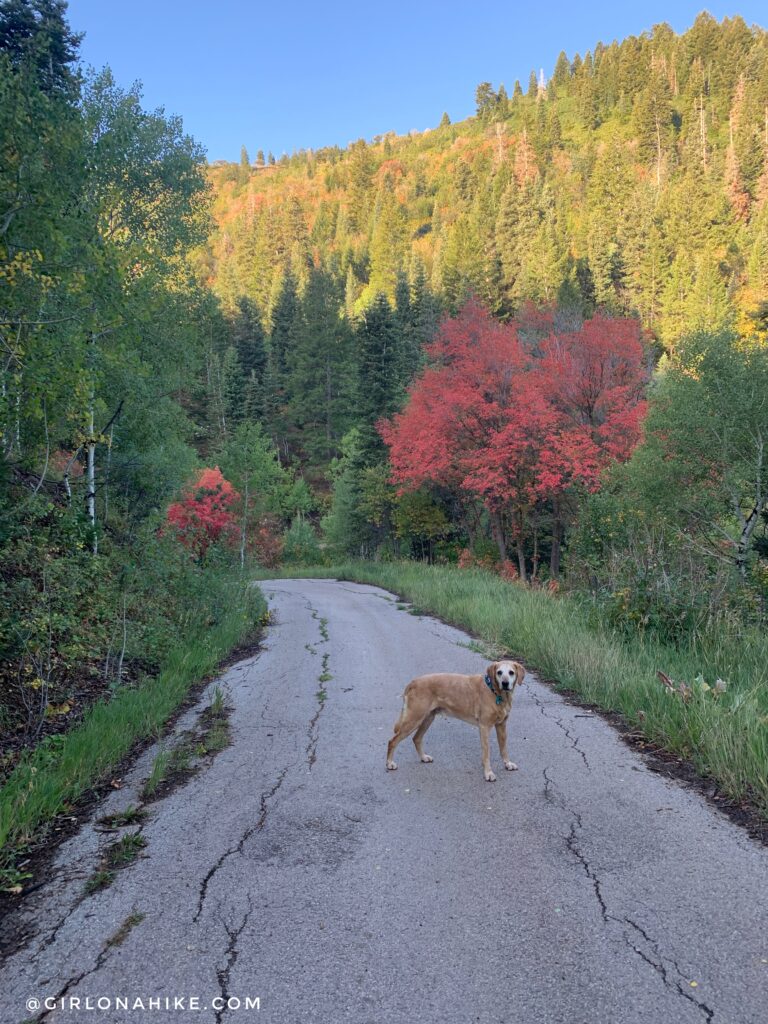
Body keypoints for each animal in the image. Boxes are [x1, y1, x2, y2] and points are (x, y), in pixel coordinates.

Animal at [387, 659, 528, 778]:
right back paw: (389, 763)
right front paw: (488, 773)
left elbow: (503, 748)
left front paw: (507, 764)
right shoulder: (484, 727)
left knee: (416, 738)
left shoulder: (501, 725)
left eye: (511, 672)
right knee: (392, 741)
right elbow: (486, 753)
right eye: (499, 672)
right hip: (413, 719)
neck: (495, 692)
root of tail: (413, 682)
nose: (505, 683)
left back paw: (423, 757)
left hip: (427, 718)